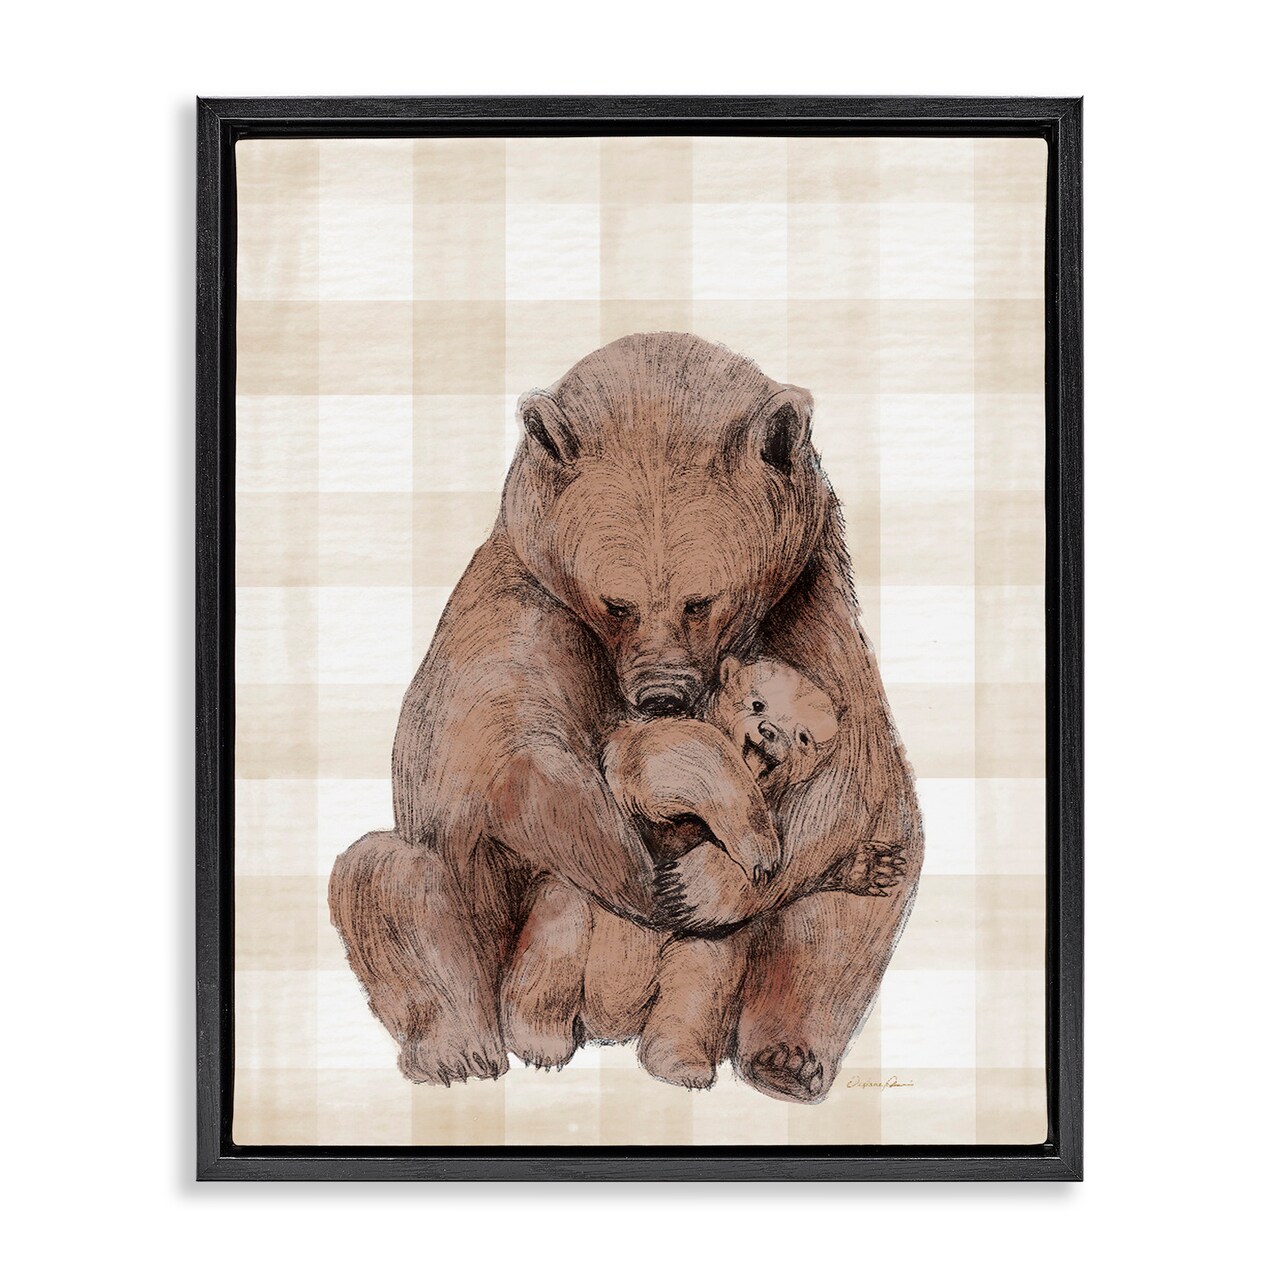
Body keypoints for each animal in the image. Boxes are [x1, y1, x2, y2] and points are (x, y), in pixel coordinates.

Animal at [328, 331, 923, 1101]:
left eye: (701, 599)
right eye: (618, 602)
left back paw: (780, 1057)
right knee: (388, 874)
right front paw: (666, 874)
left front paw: (710, 882)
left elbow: (855, 776)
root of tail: (612, 1026)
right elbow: (525, 753)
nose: (662, 694)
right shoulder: (522, 604)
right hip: (480, 926)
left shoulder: (810, 601)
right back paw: (468, 1050)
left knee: (846, 912)